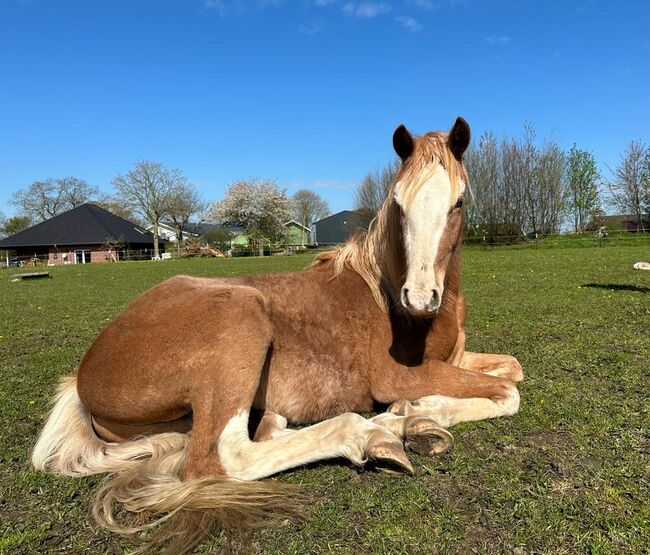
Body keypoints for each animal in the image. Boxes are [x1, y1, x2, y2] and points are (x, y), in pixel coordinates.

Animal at [34, 116, 520, 552]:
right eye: (398, 203)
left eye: (459, 202)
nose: (418, 298)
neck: (386, 292)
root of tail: (83, 378)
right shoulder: (398, 375)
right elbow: (508, 394)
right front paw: (418, 411)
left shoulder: (454, 360)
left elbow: (512, 370)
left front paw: (417, 415)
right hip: (241, 319)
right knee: (225, 455)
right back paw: (375, 434)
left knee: (266, 430)